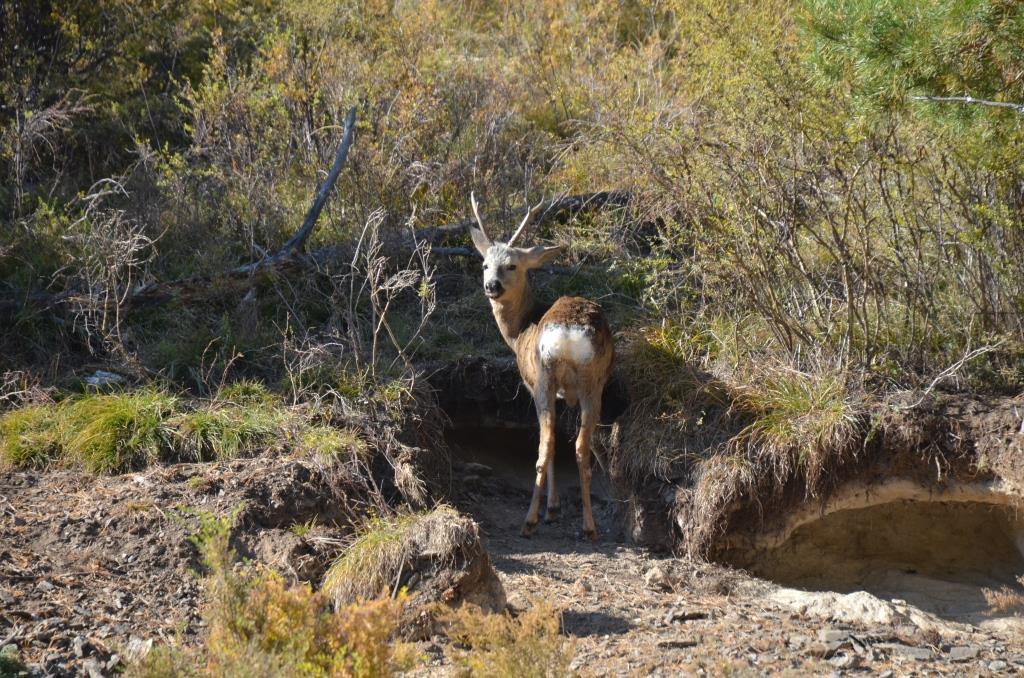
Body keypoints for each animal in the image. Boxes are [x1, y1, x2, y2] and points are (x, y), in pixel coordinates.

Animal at [466, 192, 614, 540]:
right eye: (485, 264)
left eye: (511, 264)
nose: (491, 286)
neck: (519, 329)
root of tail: (568, 334)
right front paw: (555, 506)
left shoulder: (532, 382)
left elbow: (550, 441)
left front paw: (553, 507)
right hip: (592, 382)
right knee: (580, 446)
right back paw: (589, 526)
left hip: (547, 377)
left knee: (546, 446)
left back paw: (531, 520)